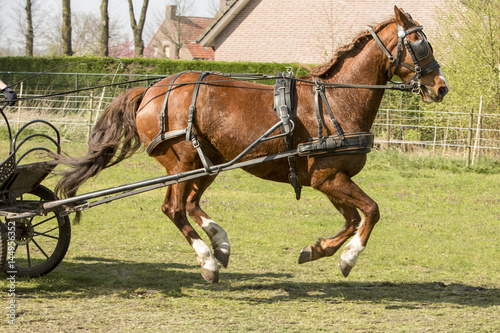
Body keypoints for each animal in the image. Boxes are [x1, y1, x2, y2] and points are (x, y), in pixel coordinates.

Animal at [55, 7, 450, 282]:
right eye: (419, 43)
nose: (441, 87)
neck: (336, 101)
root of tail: (152, 89)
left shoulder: (329, 181)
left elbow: (353, 218)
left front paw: (316, 250)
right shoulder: (329, 178)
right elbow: (371, 211)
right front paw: (347, 258)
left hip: (206, 163)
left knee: (191, 203)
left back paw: (220, 243)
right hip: (183, 163)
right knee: (175, 208)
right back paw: (208, 260)